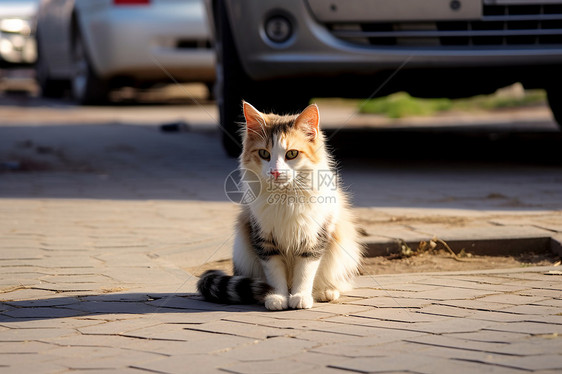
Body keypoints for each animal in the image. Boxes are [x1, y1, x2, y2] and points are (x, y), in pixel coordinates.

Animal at [197, 100, 364, 310]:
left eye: (292, 154)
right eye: (264, 153)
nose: (275, 172)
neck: (285, 197)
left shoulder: (314, 238)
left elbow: (305, 272)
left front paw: (300, 297)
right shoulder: (265, 240)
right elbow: (275, 275)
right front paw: (277, 297)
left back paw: (325, 292)